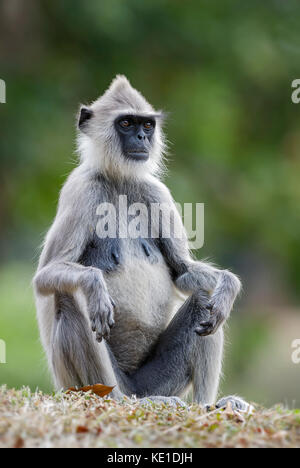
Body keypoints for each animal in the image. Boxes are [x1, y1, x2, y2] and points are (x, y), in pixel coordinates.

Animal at [32, 75, 250, 412]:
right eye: (126, 123)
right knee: (68, 297)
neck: (119, 180)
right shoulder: (80, 189)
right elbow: (46, 277)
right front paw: (94, 285)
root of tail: (135, 390)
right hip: (90, 385)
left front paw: (228, 285)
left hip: (157, 381)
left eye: (147, 125)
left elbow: (183, 272)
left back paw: (206, 404)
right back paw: (116, 400)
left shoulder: (156, 192)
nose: (141, 138)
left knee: (205, 299)